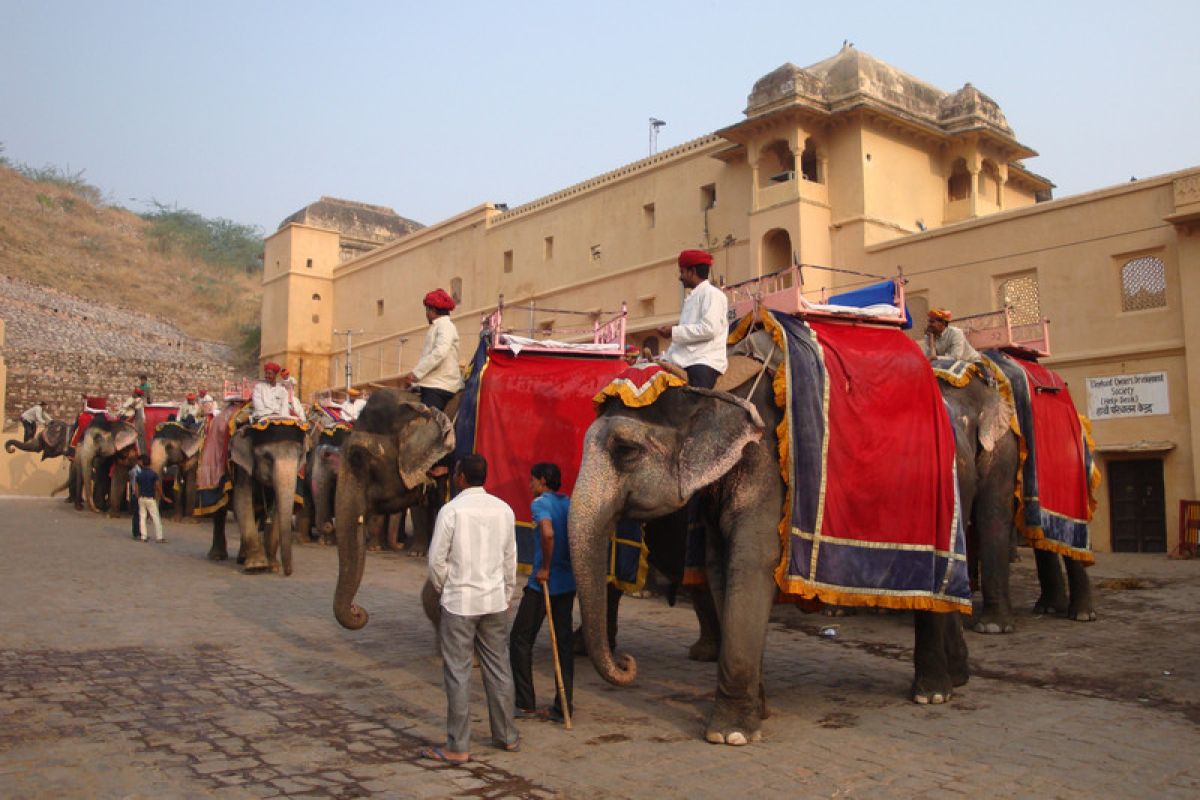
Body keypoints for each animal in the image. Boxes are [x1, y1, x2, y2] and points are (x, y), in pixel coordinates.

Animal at [226, 419, 307, 575]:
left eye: (300, 456)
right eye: (268, 458)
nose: (288, 572)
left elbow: (275, 509)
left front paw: (273, 566)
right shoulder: (242, 467)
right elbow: (241, 501)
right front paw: (256, 566)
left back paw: (243, 558)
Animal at [566, 335, 969, 748]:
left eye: (626, 451)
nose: (627, 663)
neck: (718, 390)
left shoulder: (768, 460)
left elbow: (751, 559)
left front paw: (729, 734)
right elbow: (719, 565)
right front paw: (757, 712)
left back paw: (931, 693)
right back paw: (958, 678)